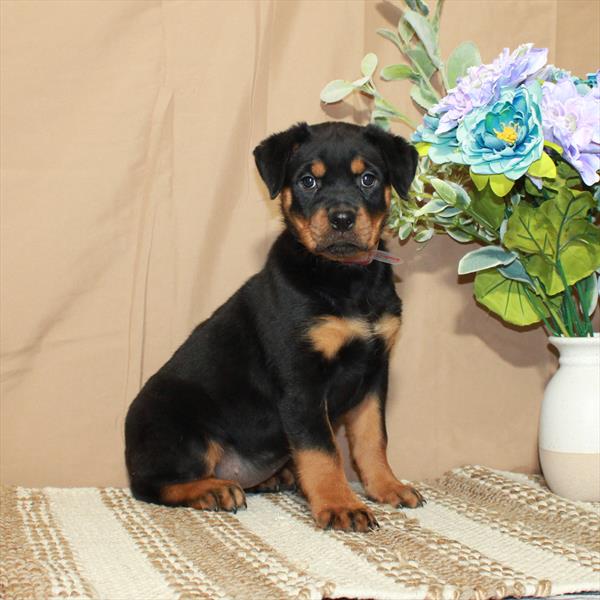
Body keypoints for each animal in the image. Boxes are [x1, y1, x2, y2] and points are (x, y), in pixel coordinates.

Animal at [125, 120, 422, 528]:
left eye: (369, 178)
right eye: (308, 181)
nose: (342, 218)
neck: (343, 278)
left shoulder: (374, 374)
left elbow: (372, 439)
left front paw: (387, 487)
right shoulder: (300, 380)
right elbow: (322, 450)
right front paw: (340, 505)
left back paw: (275, 477)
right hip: (182, 429)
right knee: (151, 485)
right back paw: (212, 490)